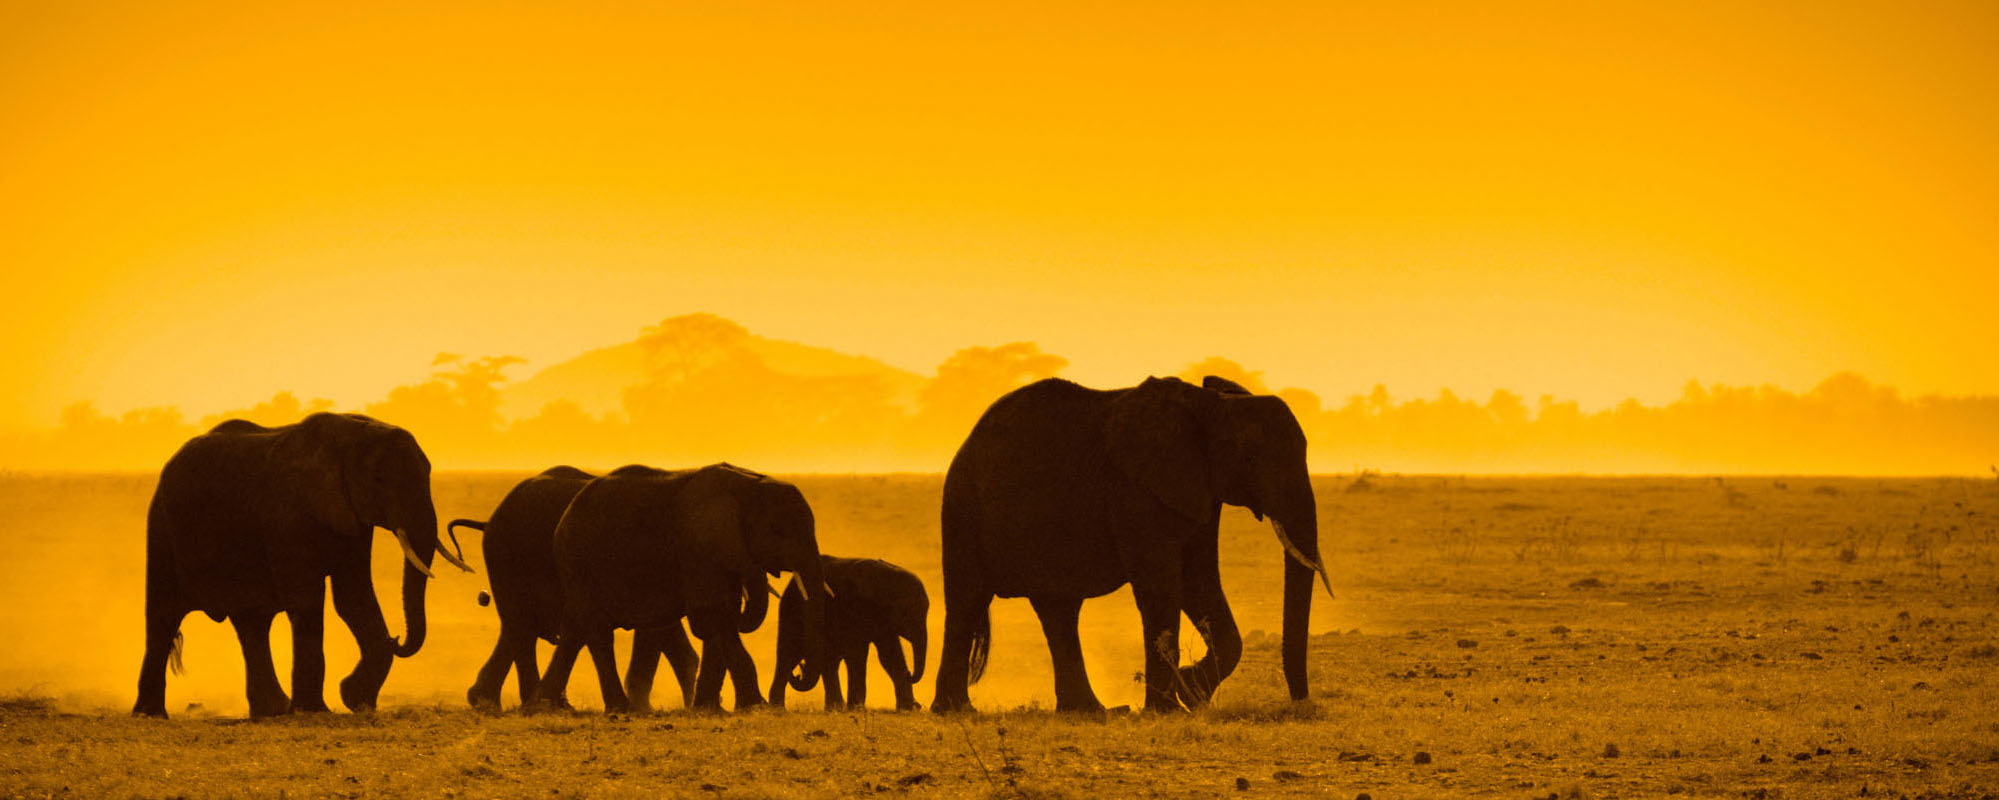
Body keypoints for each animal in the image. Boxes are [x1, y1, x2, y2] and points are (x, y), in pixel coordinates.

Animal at [133, 413, 471, 718]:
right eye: (378, 478)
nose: (398, 639)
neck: (350, 432)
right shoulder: (286, 517)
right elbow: (307, 600)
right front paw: (315, 711)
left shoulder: (351, 521)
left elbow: (354, 598)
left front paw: (356, 700)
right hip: (161, 528)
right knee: (163, 616)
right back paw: (150, 714)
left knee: (251, 623)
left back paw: (272, 711)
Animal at [536, 463, 830, 713]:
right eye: (777, 531)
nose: (799, 671)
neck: (748, 484)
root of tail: (565, 517)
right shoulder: (698, 549)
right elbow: (710, 613)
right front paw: (754, 707)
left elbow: (717, 618)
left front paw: (711, 709)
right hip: (581, 563)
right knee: (597, 630)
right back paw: (617, 708)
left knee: (576, 629)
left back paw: (547, 706)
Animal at [769, 555, 929, 711]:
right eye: (906, 613)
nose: (909, 674)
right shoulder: (851, 608)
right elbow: (857, 654)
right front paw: (857, 709)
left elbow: (889, 656)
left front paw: (907, 708)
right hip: (791, 609)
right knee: (789, 653)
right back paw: (778, 707)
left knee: (826, 659)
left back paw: (834, 707)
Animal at [930, 376, 1333, 714]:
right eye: (1249, 458)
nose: (1300, 703)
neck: (1211, 405)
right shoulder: (1137, 491)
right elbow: (1161, 587)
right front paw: (1170, 709)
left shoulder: (1197, 490)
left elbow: (1196, 581)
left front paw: (1191, 694)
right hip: (962, 508)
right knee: (968, 600)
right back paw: (957, 712)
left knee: (1058, 610)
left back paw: (1090, 712)